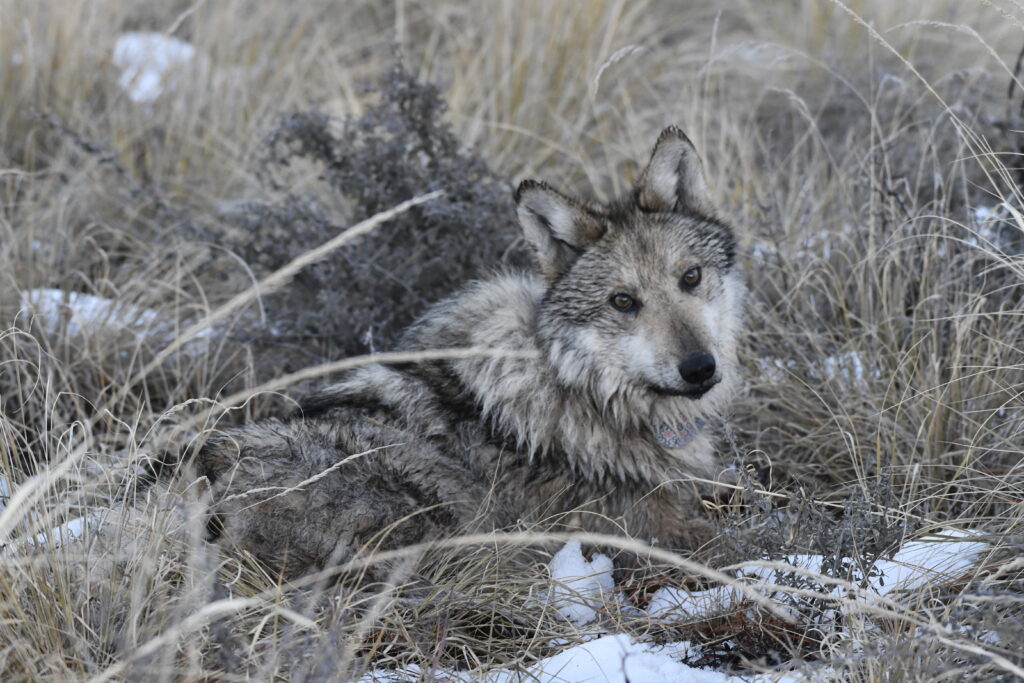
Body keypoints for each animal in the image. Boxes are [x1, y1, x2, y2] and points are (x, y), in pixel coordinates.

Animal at [195, 127, 746, 578]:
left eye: (690, 277)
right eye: (623, 301)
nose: (699, 368)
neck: (580, 389)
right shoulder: (656, 533)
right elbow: (736, 540)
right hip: (437, 510)